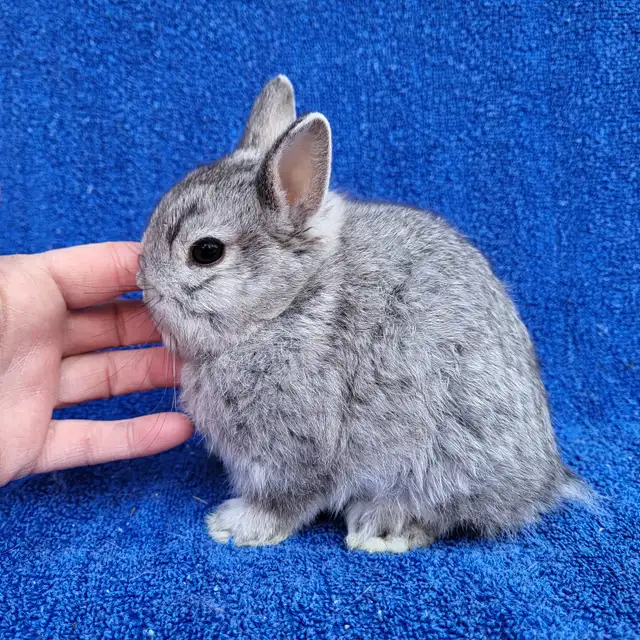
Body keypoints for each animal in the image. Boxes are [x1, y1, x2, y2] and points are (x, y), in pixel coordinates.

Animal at [138, 75, 590, 552]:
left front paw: (233, 526)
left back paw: (380, 529)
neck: (287, 305)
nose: (142, 282)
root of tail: (542, 480)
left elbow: (285, 500)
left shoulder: (294, 445)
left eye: (206, 251)